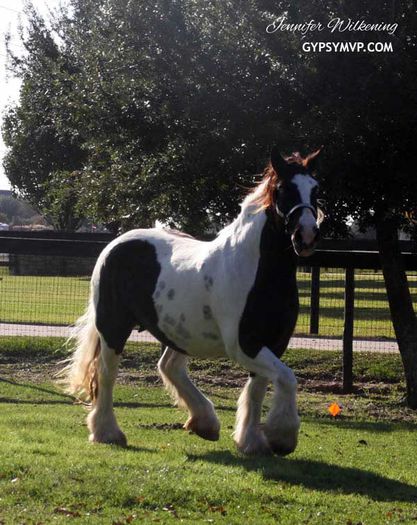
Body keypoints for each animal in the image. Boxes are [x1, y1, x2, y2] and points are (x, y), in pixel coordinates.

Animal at [60, 146, 322, 454]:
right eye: (283, 189)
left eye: (315, 189)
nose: (306, 235)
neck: (257, 271)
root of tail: (115, 244)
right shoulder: (244, 345)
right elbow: (286, 378)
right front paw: (282, 436)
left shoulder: (274, 343)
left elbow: (259, 389)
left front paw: (252, 441)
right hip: (114, 327)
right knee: (107, 373)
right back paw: (107, 432)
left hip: (177, 333)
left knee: (168, 367)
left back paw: (204, 422)